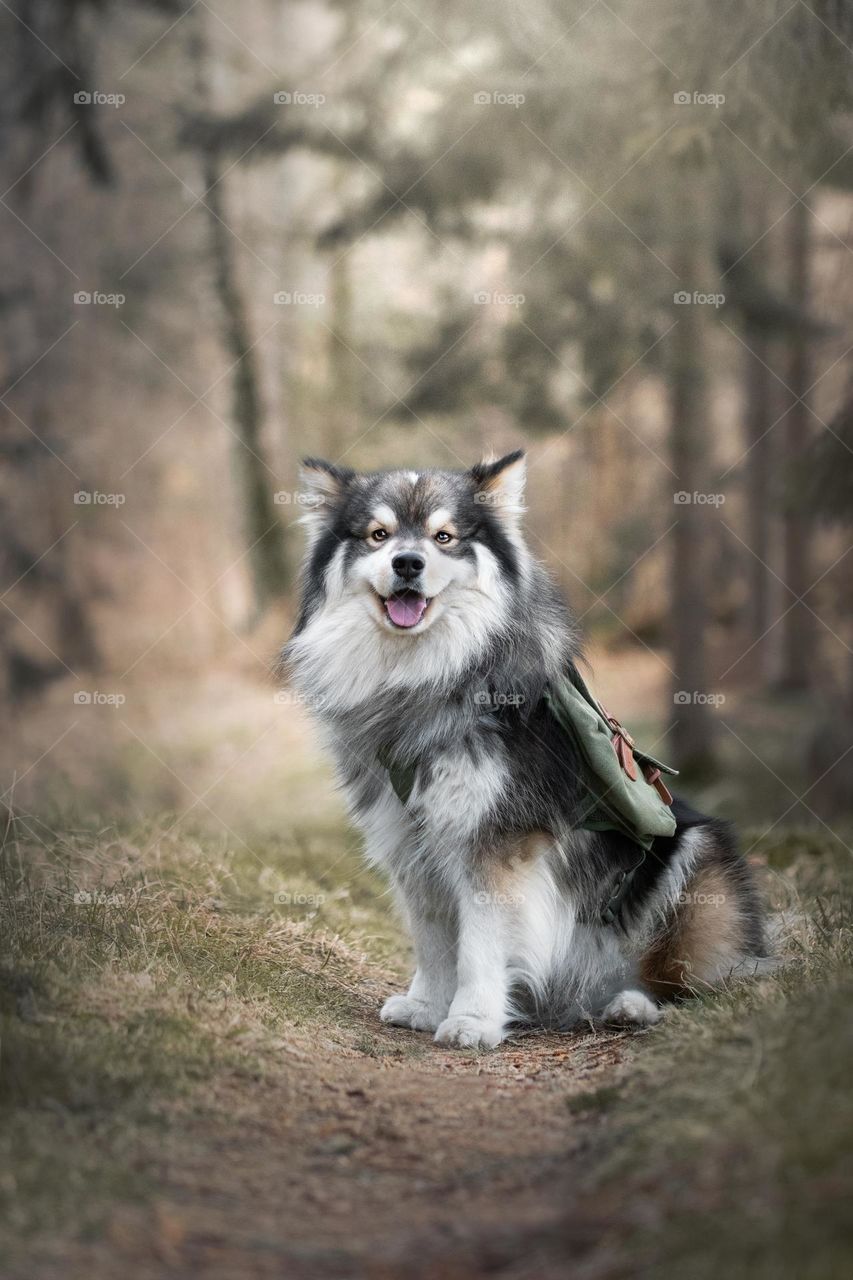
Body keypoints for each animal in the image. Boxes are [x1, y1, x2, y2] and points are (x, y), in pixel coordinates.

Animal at [284, 455, 763, 1044]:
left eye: (444, 537)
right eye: (379, 535)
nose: (408, 563)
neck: (425, 677)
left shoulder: (495, 842)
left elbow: (480, 946)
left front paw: (470, 1019)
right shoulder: (410, 840)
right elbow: (433, 939)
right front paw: (427, 1005)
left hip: (695, 863)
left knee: (689, 989)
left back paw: (630, 1005)